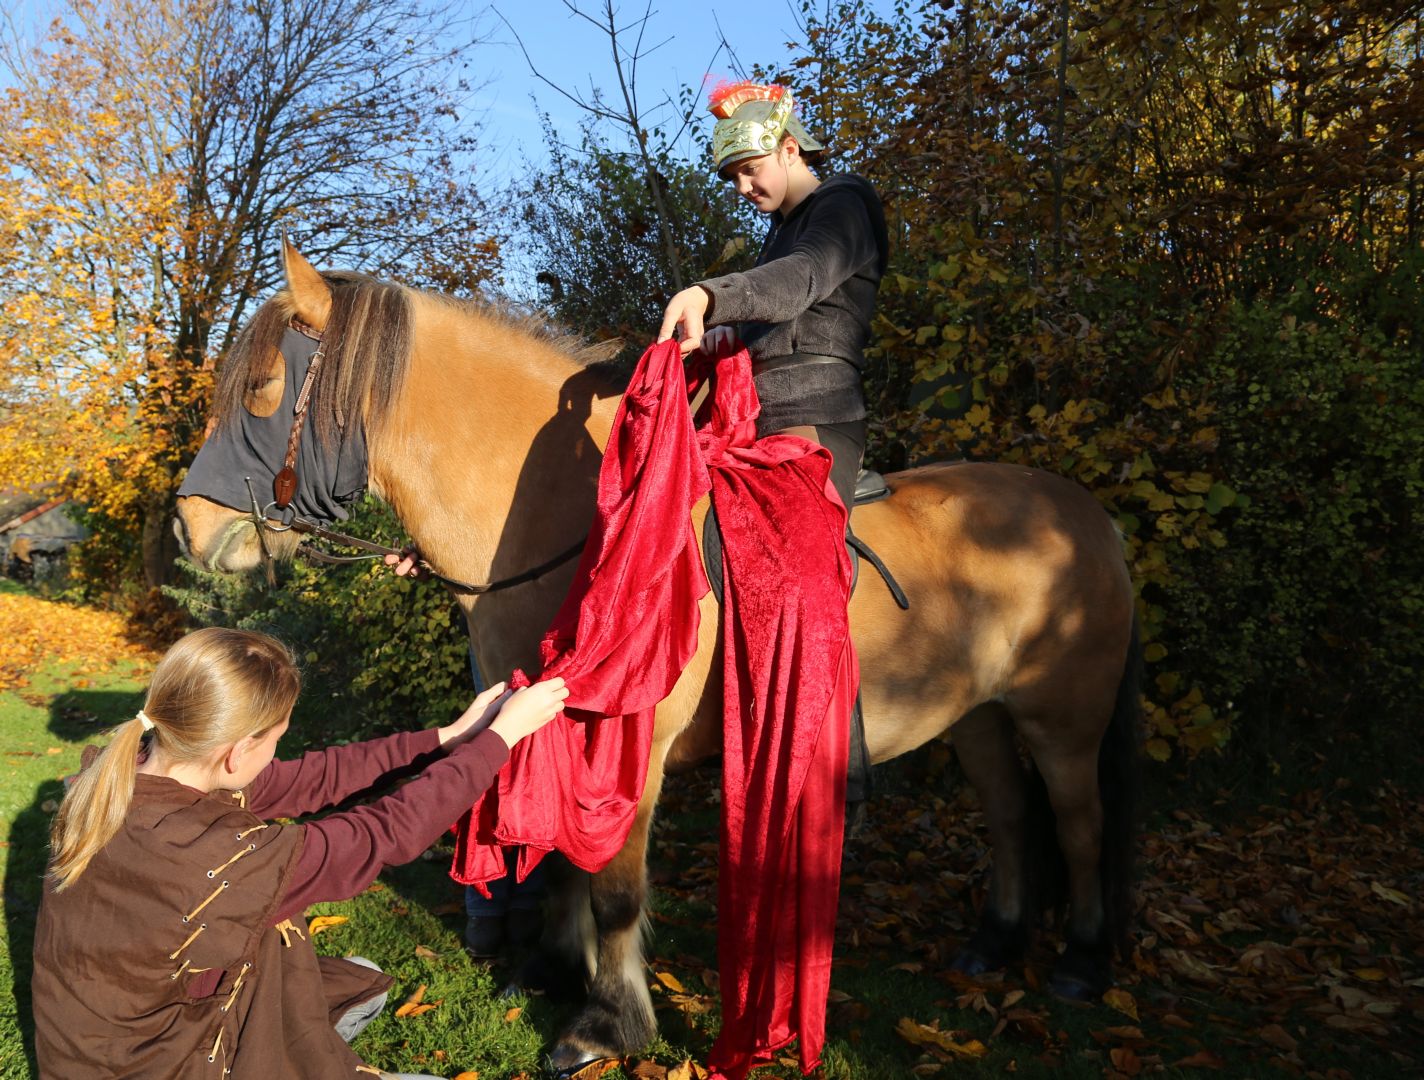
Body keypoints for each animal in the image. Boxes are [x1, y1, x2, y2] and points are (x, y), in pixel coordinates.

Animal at [178, 245, 1139, 1077]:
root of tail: (1090, 516)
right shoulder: (547, 722)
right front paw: (551, 971)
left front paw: (607, 1023)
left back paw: (1081, 963)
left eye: (262, 389)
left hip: (1064, 722)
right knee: (1012, 819)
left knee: (1080, 825)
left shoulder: (630, 746)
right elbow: (565, 859)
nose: (190, 528)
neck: (579, 519)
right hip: (980, 719)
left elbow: (613, 888)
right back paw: (993, 943)